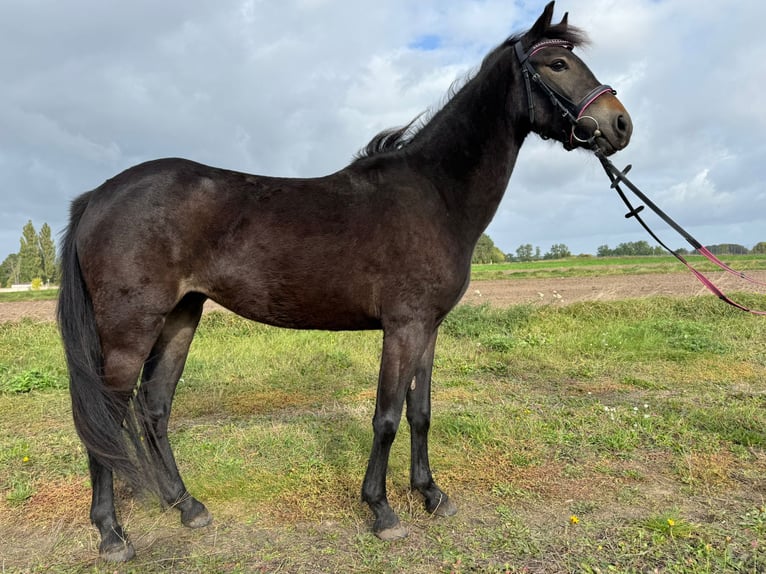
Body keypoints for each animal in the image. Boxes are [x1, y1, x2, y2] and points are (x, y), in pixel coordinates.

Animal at [57, 2, 631, 562]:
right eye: (556, 64)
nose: (620, 124)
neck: (434, 193)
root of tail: (98, 195)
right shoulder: (402, 328)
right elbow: (387, 417)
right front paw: (382, 511)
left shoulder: (428, 329)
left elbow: (421, 412)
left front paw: (431, 493)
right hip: (130, 329)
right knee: (105, 417)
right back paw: (112, 535)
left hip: (181, 317)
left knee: (154, 408)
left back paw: (186, 505)